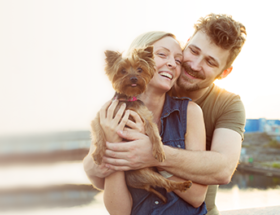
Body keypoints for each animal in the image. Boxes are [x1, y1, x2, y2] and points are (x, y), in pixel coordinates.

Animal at [91, 46, 191, 202]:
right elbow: (99, 134)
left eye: (139, 69)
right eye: (123, 71)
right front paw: (98, 153)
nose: (133, 78)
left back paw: (183, 184)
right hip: (142, 175)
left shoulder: (146, 117)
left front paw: (159, 151)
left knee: (167, 184)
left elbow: (154, 133)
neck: (128, 100)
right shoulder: (99, 117)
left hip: (149, 174)